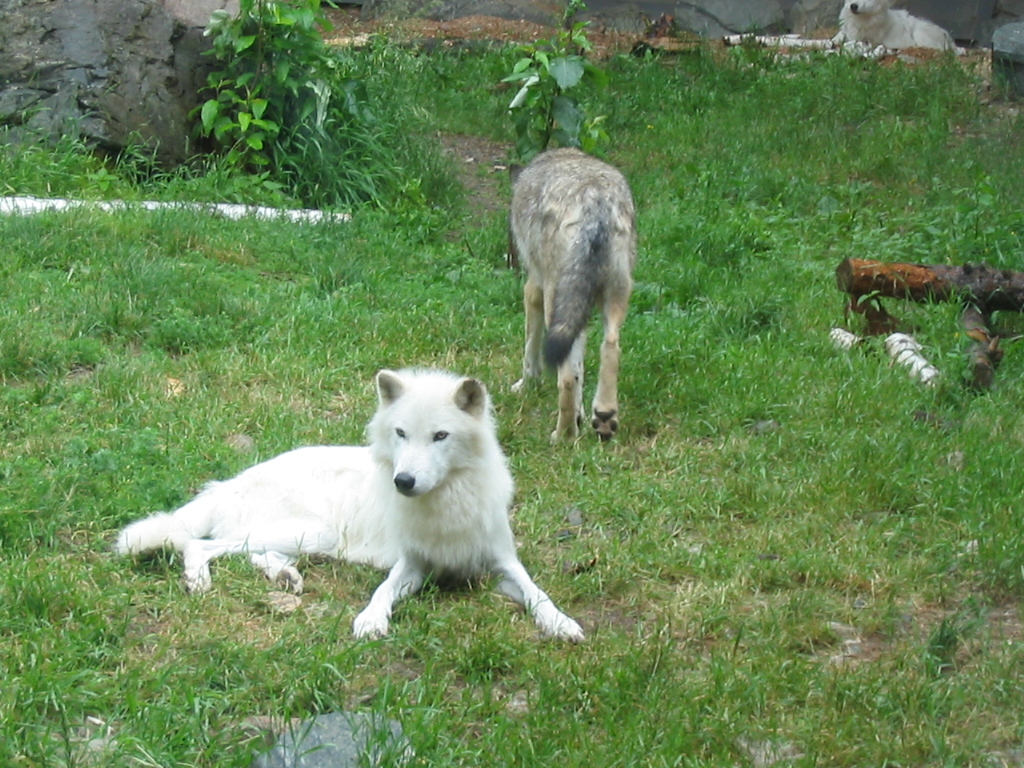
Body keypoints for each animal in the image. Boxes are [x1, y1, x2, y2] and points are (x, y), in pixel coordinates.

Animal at [115, 368, 584, 642]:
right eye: (400, 433)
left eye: (440, 436)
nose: (403, 481)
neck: (446, 502)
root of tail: (229, 483)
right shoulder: (411, 563)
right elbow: (383, 590)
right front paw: (371, 620)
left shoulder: (502, 561)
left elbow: (536, 592)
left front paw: (561, 623)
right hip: (314, 532)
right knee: (202, 544)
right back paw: (199, 580)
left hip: (306, 538)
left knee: (254, 555)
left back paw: (285, 578)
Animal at [509, 147, 637, 442]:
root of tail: (596, 205)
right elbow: (581, 371)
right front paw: (583, 415)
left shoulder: (534, 287)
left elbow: (532, 349)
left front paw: (526, 385)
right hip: (615, 298)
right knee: (610, 346)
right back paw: (604, 417)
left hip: (555, 303)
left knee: (566, 377)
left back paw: (564, 436)